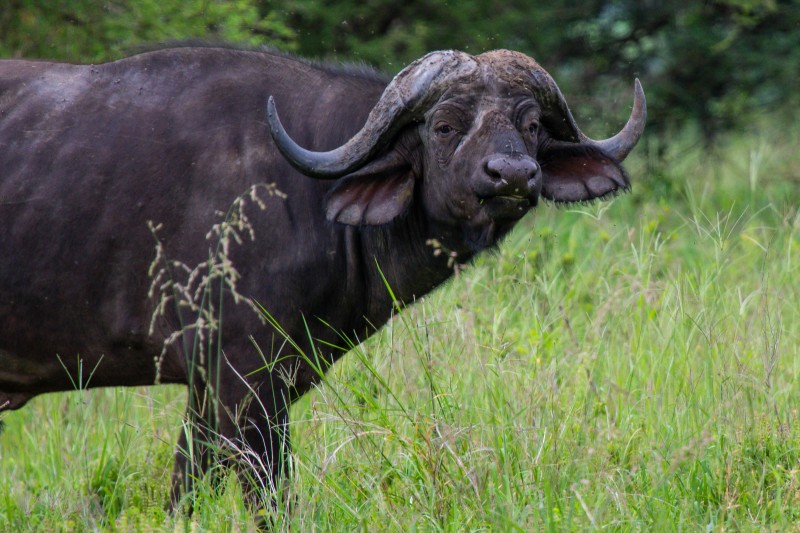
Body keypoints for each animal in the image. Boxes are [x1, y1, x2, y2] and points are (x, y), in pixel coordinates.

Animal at [0, 48, 644, 508]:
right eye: (443, 126)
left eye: (531, 124)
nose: (512, 174)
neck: (304, 195)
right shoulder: (242, 381)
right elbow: (262, 495)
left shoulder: (226, 388)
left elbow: (189, 486)